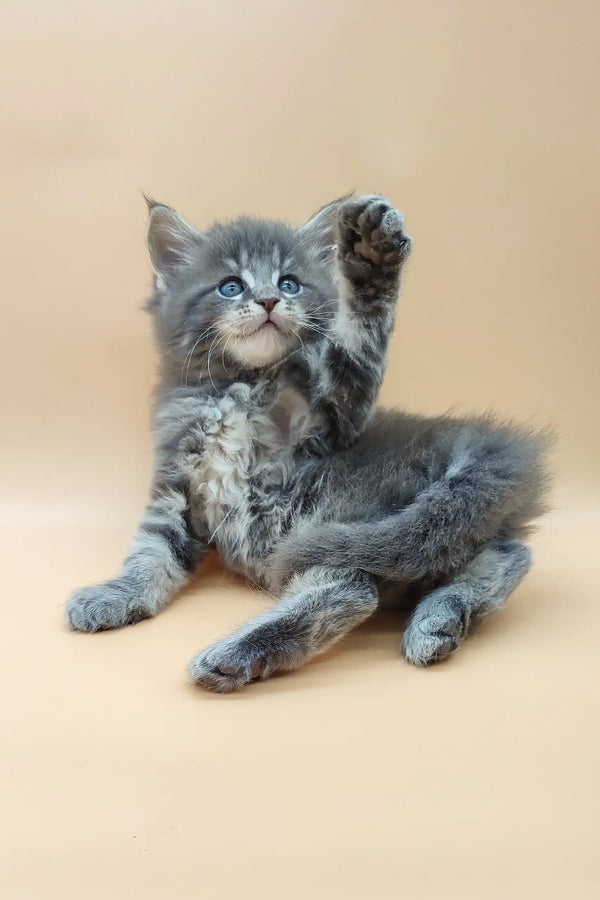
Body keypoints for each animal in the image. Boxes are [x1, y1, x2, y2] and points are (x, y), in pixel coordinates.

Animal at [65, 195, 548, 688]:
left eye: (290, 284)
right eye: (230, 287)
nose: (268, 300)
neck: (242, 386)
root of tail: (474, 445)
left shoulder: (335, 422)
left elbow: (354, 352)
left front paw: (371, 263)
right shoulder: (177, 484)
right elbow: (152, 551)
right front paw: (117, 595)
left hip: (339, 515)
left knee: (353, 589)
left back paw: (238, 655)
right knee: (504, 553)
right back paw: (442, 620)